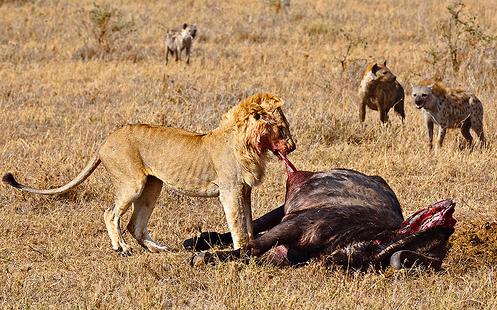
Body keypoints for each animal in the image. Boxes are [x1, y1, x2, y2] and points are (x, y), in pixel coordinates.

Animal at [2, 92, 294, 256]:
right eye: (282, 129)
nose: (293, 146)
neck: (247, 145)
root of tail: (105, 141)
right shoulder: (230, 190)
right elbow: (237, 224)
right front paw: (241, 251)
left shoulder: (244, 191)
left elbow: (248, 222)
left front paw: (252, 245)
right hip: (132, 183)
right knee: (111, 214)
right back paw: (121, 249)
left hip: (152, 186)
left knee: (135, 225)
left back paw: (159, 249)